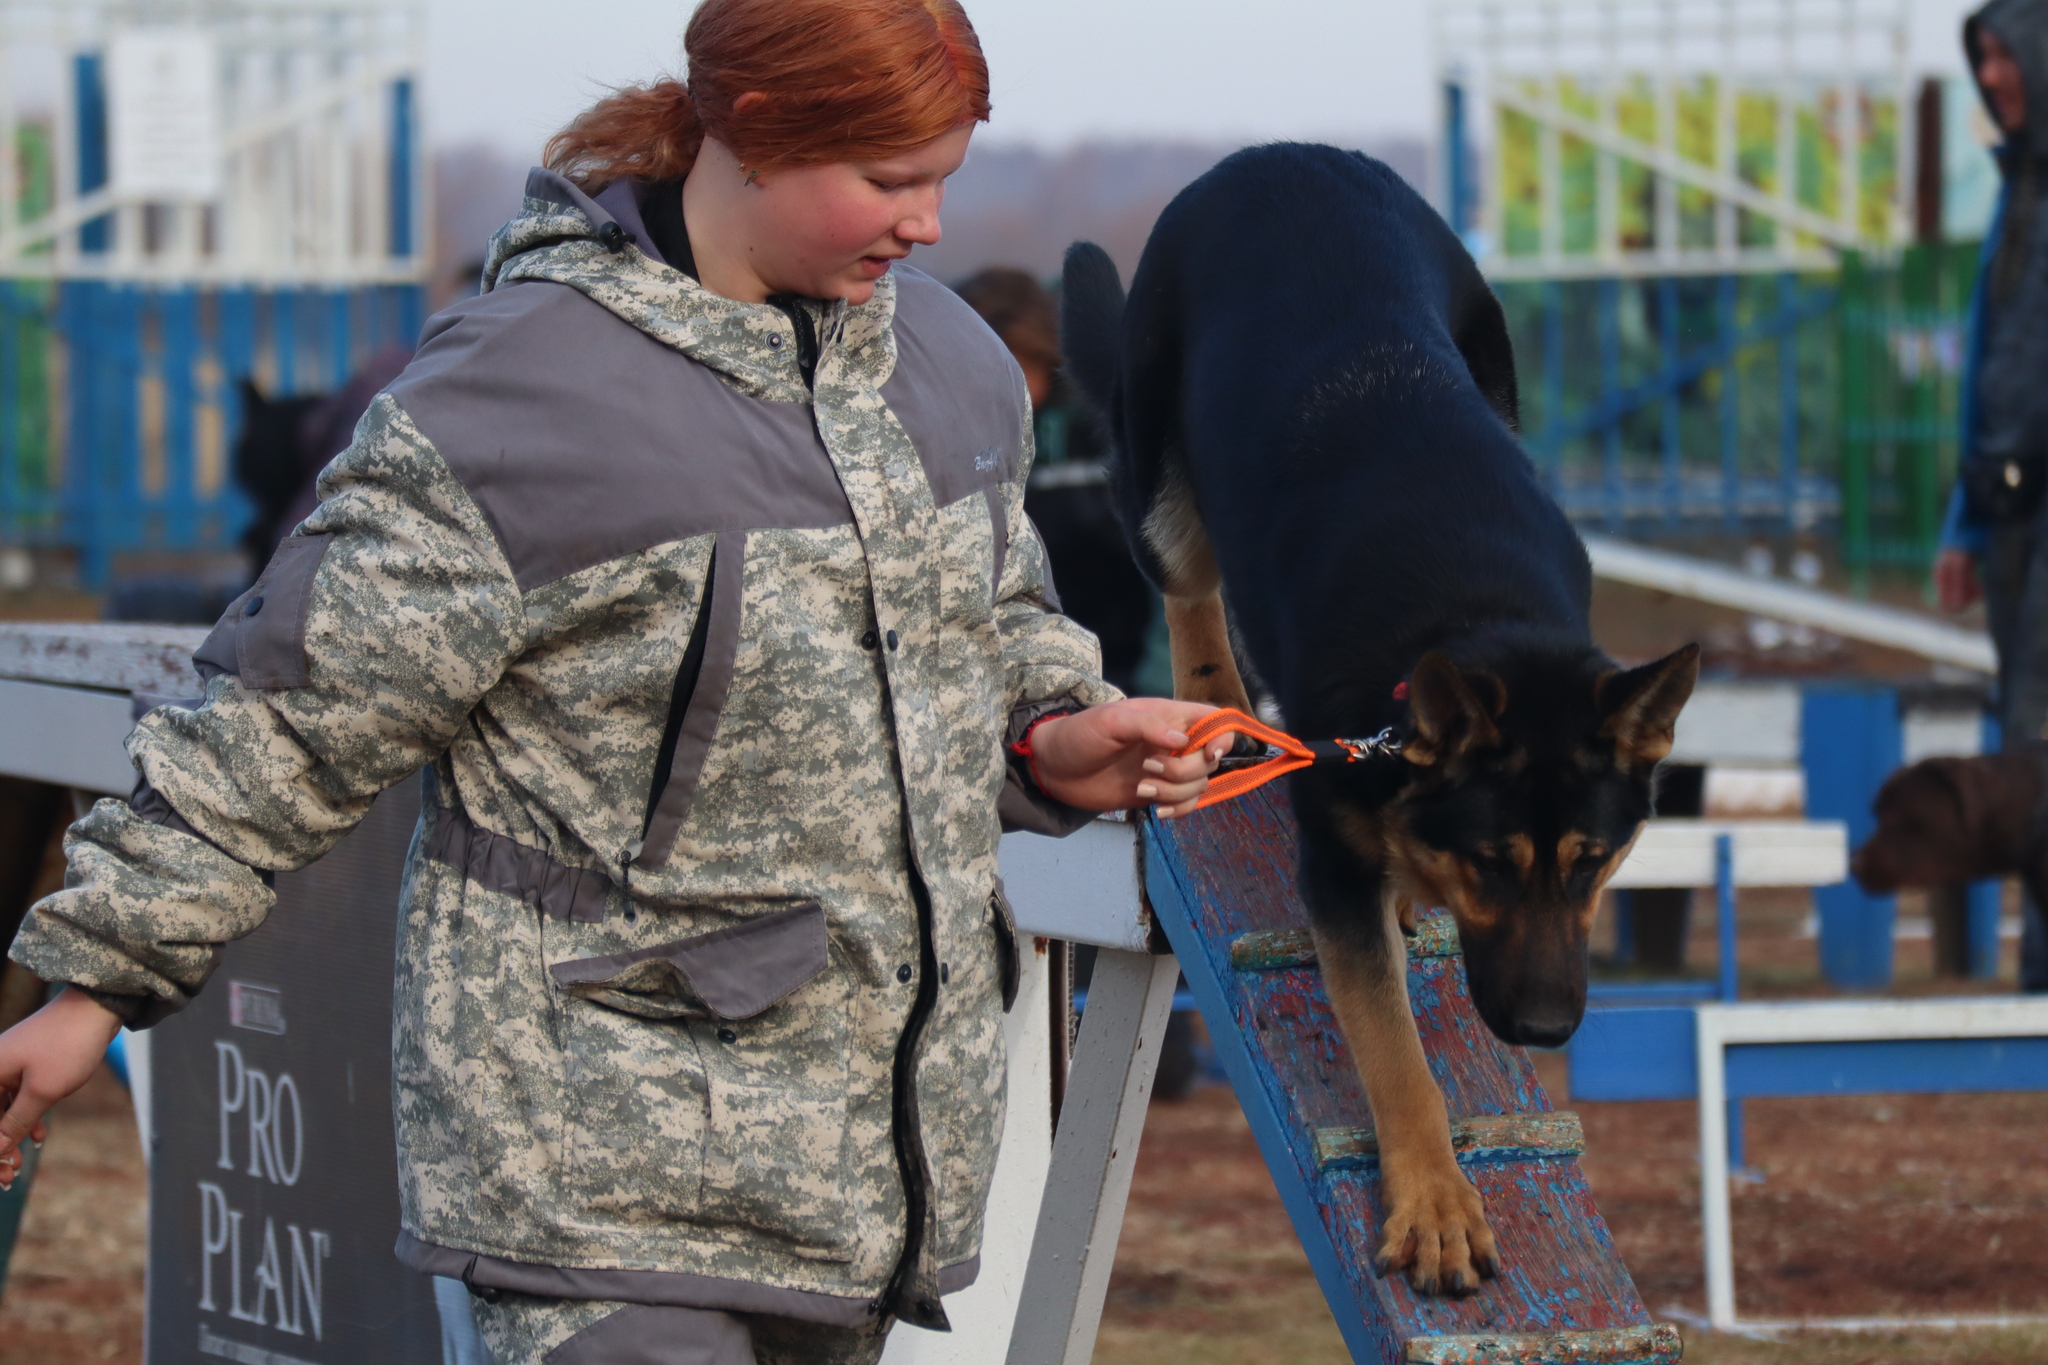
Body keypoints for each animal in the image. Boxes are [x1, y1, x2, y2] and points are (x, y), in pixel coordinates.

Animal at [1056, 144, 1695, 1301]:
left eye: (1592, 864)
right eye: (1488, 864)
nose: (1545, 1028)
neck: (1476, 616)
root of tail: (1283, 155)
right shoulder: (1335, 873)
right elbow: (1395, 1052)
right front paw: (1437, 1205)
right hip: (1155, 473)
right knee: (1188, 586)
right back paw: (1215, 700)